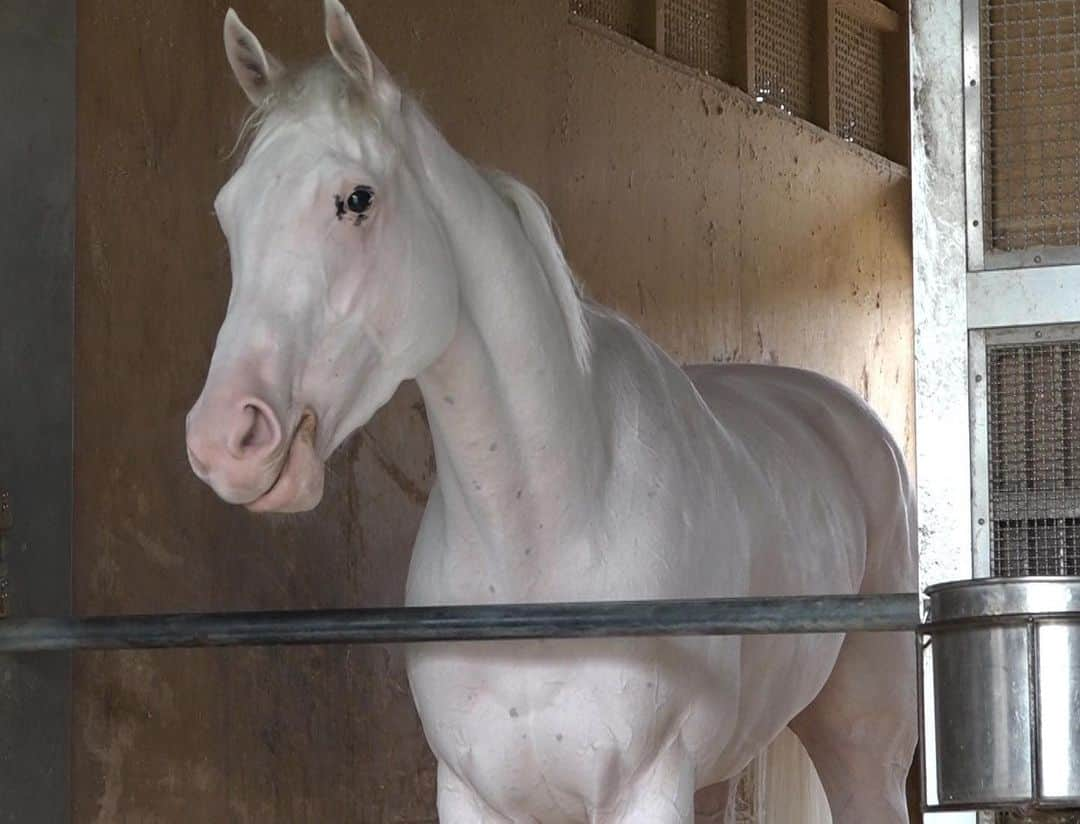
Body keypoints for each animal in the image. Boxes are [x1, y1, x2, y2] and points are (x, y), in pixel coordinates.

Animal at [185, 3, 911, 820]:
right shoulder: (470, 791)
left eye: (358, 198)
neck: (540, 542)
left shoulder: (648, 786)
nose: (226, 439)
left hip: (864, 749)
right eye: (228, 211)